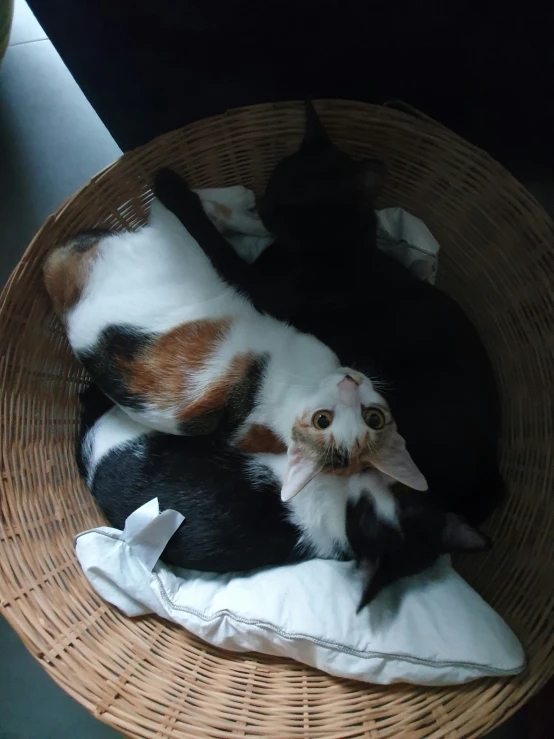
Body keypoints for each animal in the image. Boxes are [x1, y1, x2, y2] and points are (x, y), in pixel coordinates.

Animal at [153, 102, 502, 528]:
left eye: (302, 195)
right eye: (277, 179)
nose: (264, 205)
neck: (337, 244)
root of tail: (487, 486)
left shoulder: (252, 284)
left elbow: (210, 238)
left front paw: (172, 188)